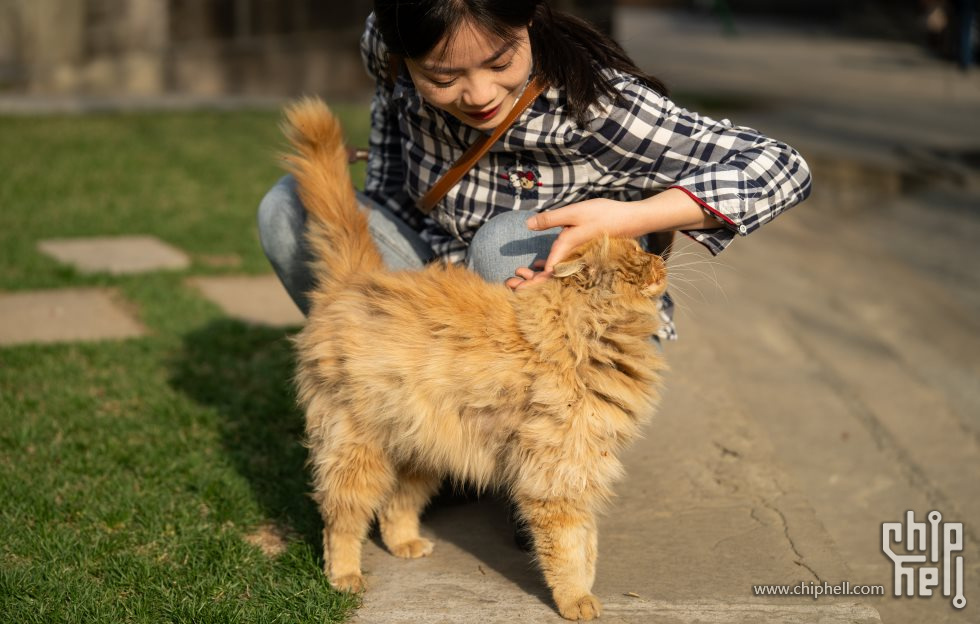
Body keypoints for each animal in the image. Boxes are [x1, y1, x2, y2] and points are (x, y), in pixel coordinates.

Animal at [280, 97, 668, 620]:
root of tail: (359, 278)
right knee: (343, 516)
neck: (584, 334)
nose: (661, 262)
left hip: (421, 445)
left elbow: (587, 542)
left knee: (398, 503)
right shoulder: (558, 469)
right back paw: (345, 576)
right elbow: (569, 547)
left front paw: (584, 590)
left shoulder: (583, 463)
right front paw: (575, 599)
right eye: (635, 262)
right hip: (356, 445)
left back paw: (406, 544)